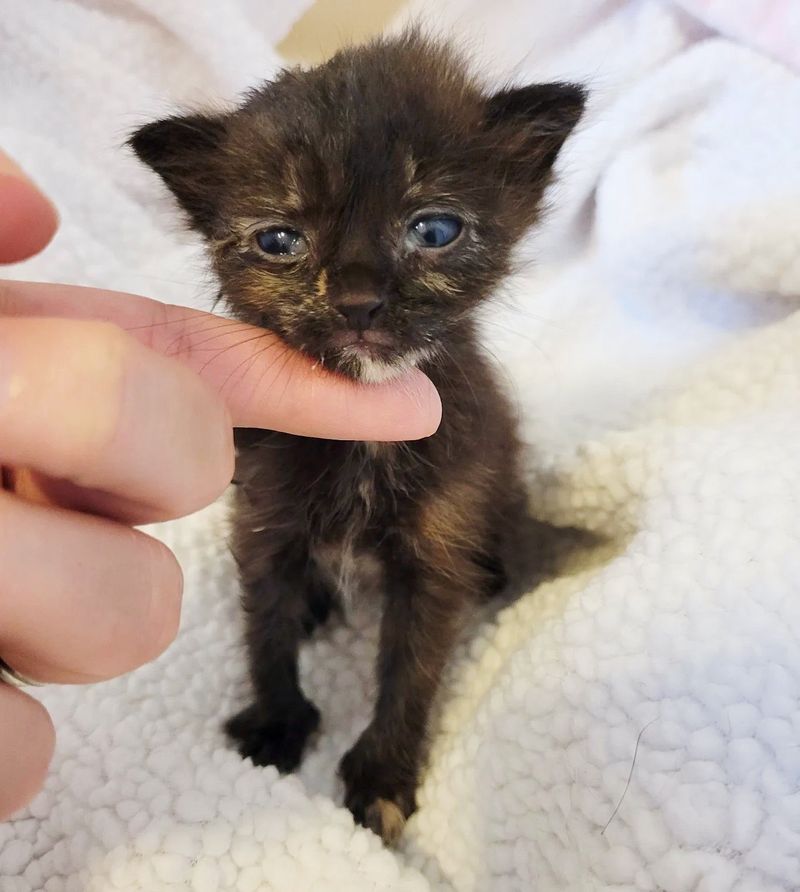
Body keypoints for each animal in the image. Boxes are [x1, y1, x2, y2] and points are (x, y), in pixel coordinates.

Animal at [130, 31, 580, 848]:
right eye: (279, 239)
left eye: (434, 230)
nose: (357, 300)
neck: (360, 438)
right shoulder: (264, 523)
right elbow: (265, 632)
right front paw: (277, 723)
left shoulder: (435, 552)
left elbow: (412, 671)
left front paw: (381, 780)